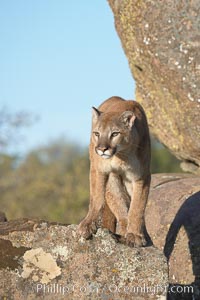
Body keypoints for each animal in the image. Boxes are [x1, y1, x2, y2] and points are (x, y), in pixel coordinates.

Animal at [77, 96, 151, 246]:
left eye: (115, 134)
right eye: (97, 133)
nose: (102, 149)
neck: (122, 155)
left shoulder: (141, 177)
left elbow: (137, 206)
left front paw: (135, 234)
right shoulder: (100, 170)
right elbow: (97, 198)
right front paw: (87, 225)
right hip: (111, 178)